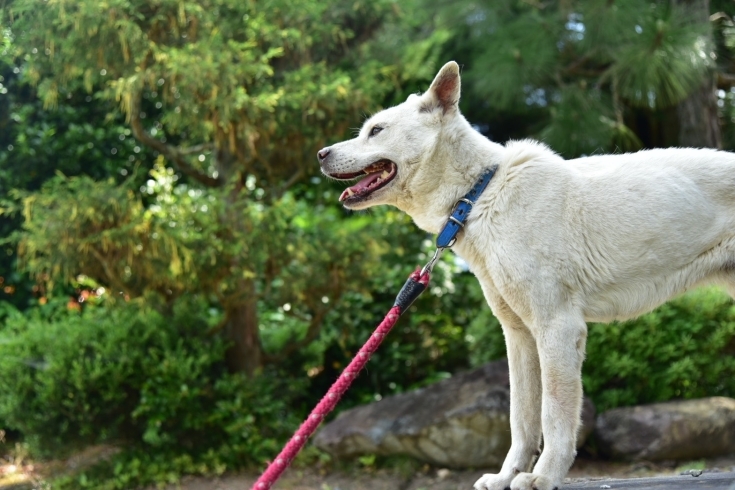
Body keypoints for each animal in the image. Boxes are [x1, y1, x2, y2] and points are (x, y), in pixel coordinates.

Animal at [316, 62, 735, 490]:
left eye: (376, 130)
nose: (320, 154)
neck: (478, 195)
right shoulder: (519, 336)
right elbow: (521, 419)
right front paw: (507, 476)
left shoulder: (558, 328)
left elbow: (554, 416)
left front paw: (544, 476)